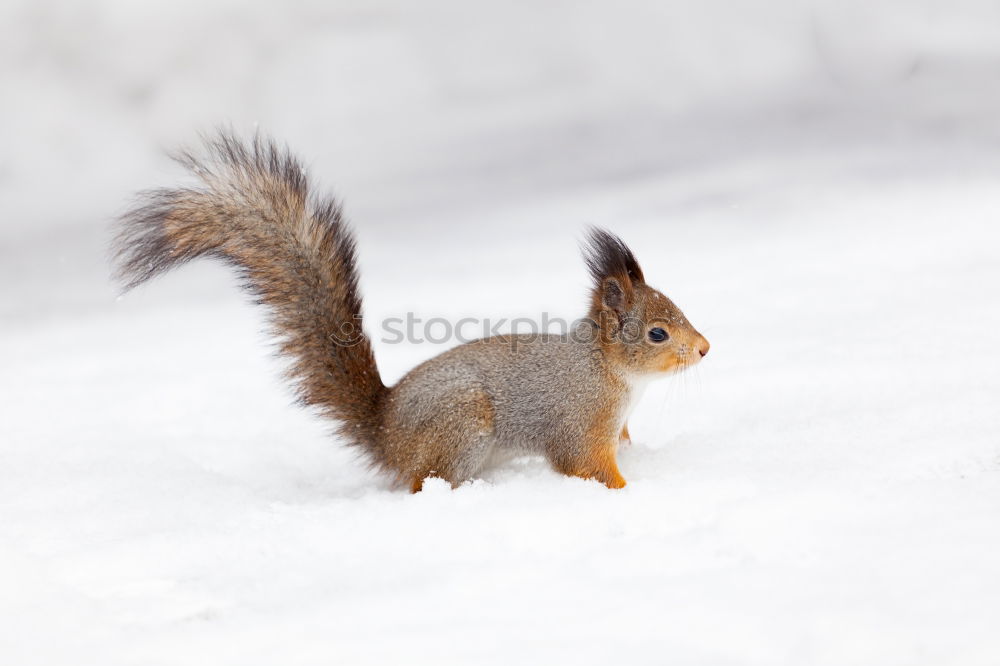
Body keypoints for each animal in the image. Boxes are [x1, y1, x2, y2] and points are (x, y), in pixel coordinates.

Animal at [115, 132, 712, 490]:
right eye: (658, 333)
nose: (706, 349)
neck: (611, 372)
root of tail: (386, 432)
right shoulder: (579, 421)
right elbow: (585, 465)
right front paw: (626, 491)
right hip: (461, 424)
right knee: (426, 481)